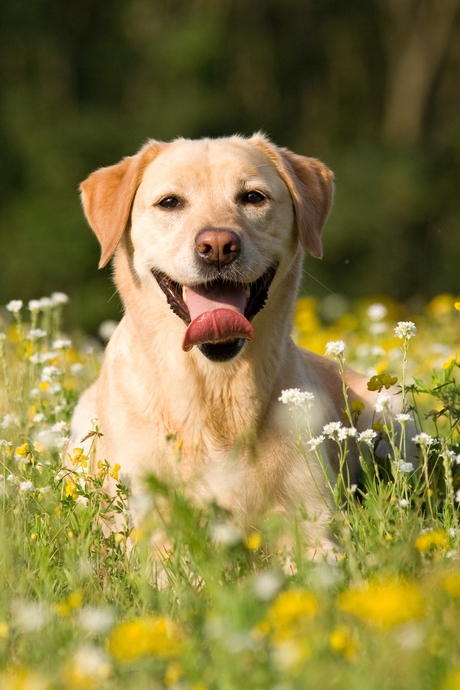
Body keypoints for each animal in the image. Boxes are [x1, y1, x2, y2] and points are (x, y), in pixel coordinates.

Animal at [71, 134, 402, 560]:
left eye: (253, 197)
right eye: (169, 202)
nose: (217, 245)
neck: (217, 390)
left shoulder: (314, 524)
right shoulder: (153, 535)